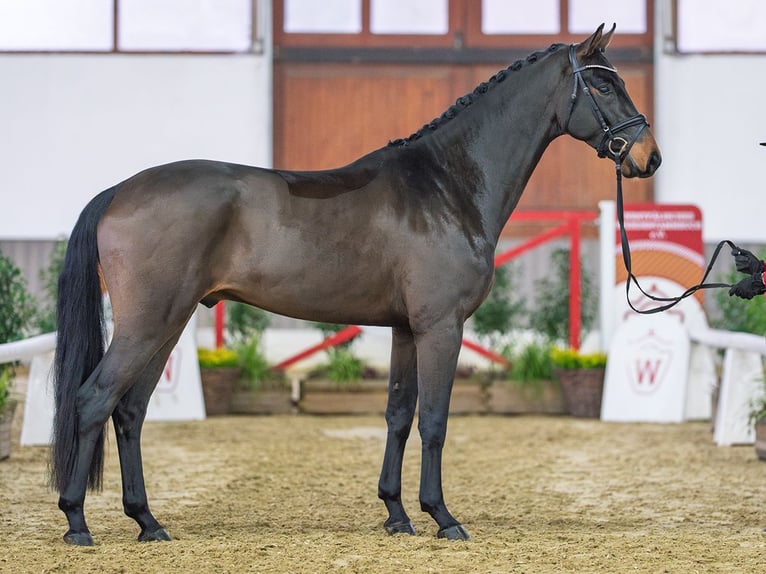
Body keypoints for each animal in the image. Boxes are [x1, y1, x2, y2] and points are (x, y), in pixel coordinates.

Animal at [51, 24, 660, 546]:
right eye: (603, 83)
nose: (648, 157)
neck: (446, 186)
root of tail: (119, 191)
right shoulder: (441, 327)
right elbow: (434, 420)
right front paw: (442, 517)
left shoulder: (406, 330)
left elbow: (398, 414)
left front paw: (396, 514)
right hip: (149, 323)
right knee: (93, 400)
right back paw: (78, 523)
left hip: (168, 325)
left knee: (130, 412)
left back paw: (148, 522)